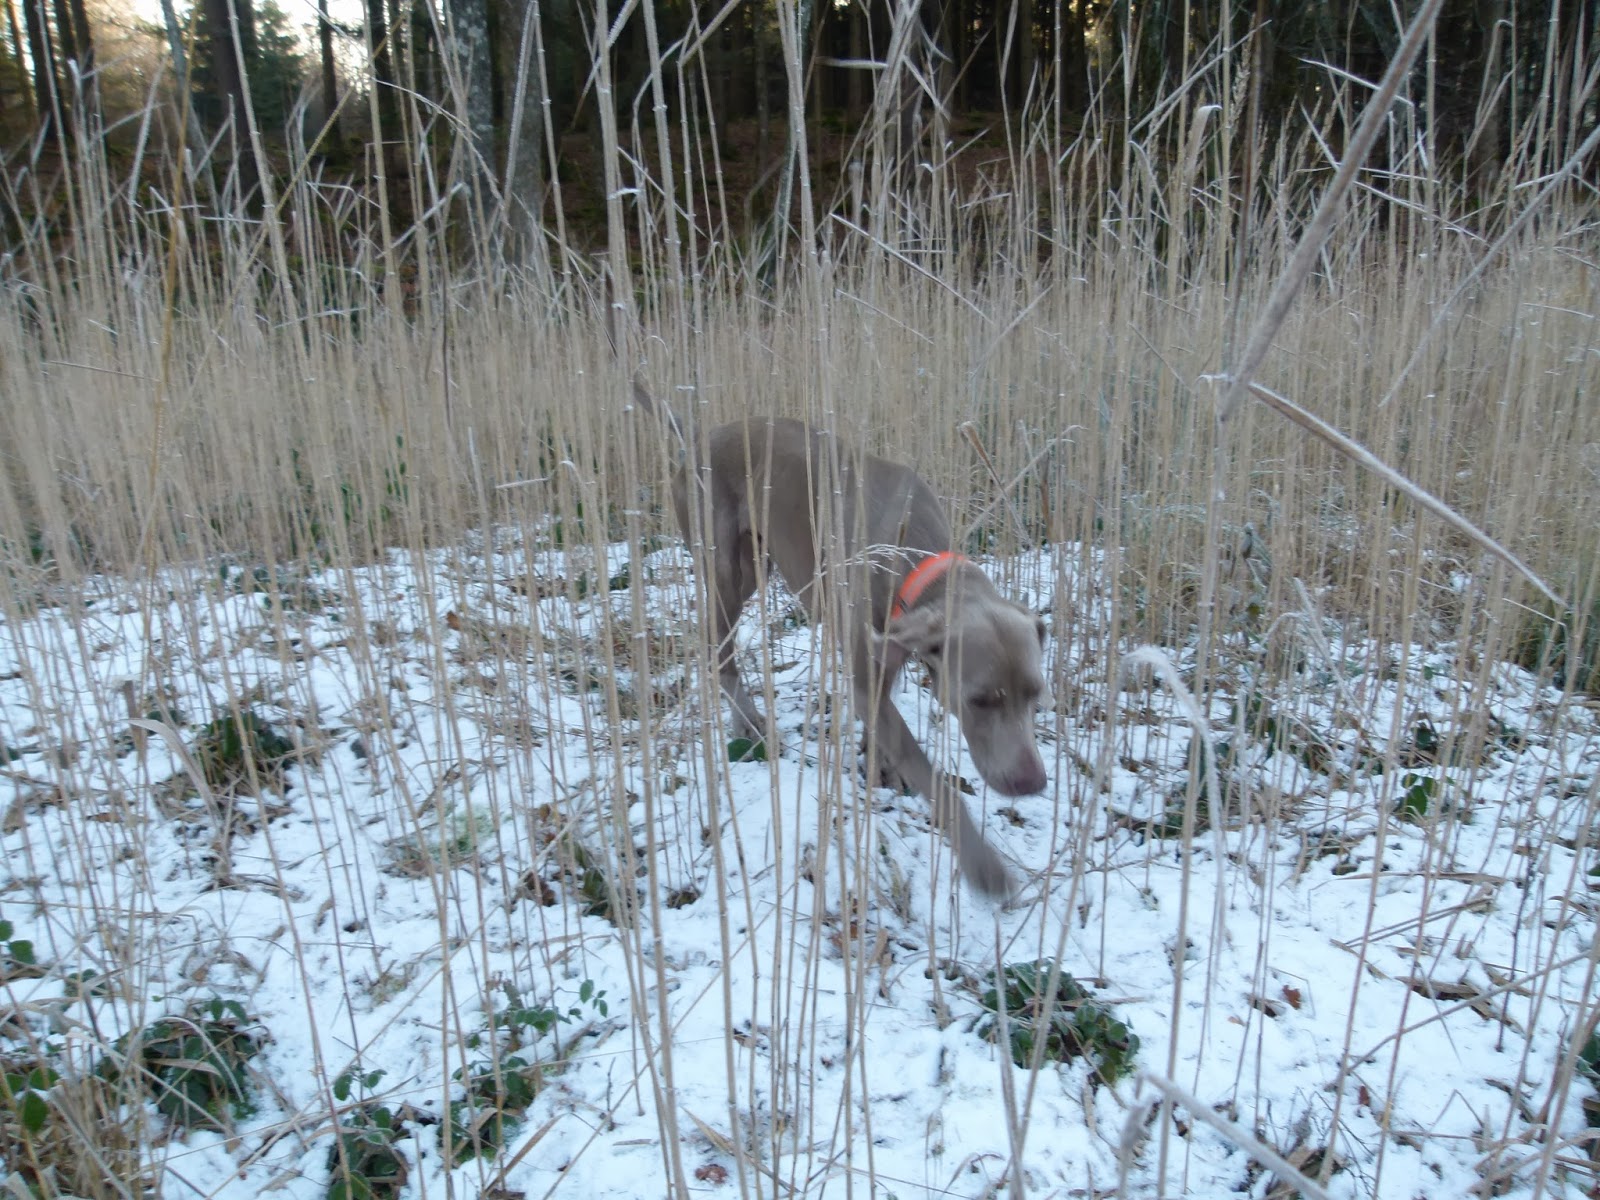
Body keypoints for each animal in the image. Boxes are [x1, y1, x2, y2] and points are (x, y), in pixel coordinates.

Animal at [630, 383, 1048, 898]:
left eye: (1036, 695)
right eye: (981, 700)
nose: (1031, 782)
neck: (913, 554)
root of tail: (699, 435)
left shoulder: (888, 653)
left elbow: (885, 723)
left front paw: (881, 768)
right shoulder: (866, 668)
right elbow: (924, 767)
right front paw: (983, 864)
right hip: (726, 568)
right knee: (717, 649)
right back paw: (750, 725)